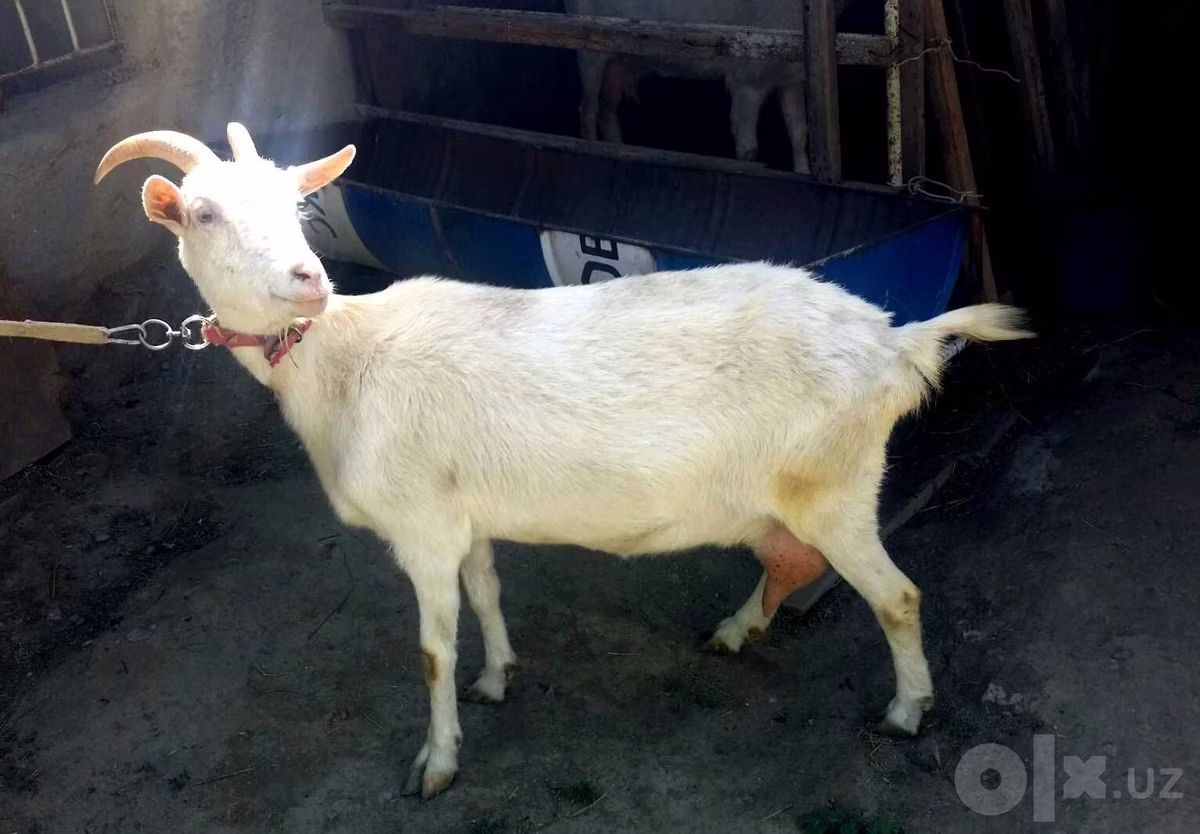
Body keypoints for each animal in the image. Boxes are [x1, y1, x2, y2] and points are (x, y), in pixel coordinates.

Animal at [94, 123, 1032, 800]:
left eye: (299, 205)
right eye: (204, 214)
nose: (306, 279)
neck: (343, 363)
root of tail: (893, 339)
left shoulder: (421, 530)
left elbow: (431, 649)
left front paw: (437, 763)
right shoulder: (462, 516)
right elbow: (487, 593)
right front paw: (498, 677)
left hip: (834, 487)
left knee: (896, 596)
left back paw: (907, 710)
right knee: (791, 562)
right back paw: (736, 631)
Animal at [564, 0, 851, 174]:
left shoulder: (790, 79)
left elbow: (800, 134)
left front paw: (803, 173)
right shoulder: (747, 80)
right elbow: (748, 149)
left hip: (620, 57)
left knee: (607, 108)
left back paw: (617, 148)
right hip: (589, 46)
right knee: (587, 109)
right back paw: (592, 148)